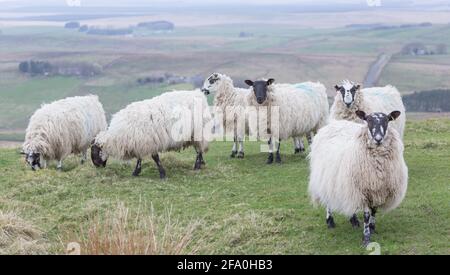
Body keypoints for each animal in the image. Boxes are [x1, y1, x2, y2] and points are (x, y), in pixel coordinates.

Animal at [310, 111, 408, 247]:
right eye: (368, 120)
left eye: (387, 120)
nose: (378, 138)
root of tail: (333, 124)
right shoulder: (364, 190)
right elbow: (366, 215)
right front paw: (366, 238)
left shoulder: (378, 191)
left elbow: (374, 211)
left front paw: (372, 228)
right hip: (327, 178)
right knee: (328, 199)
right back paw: (330, 221)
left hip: (346, 185)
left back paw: (354, 220)